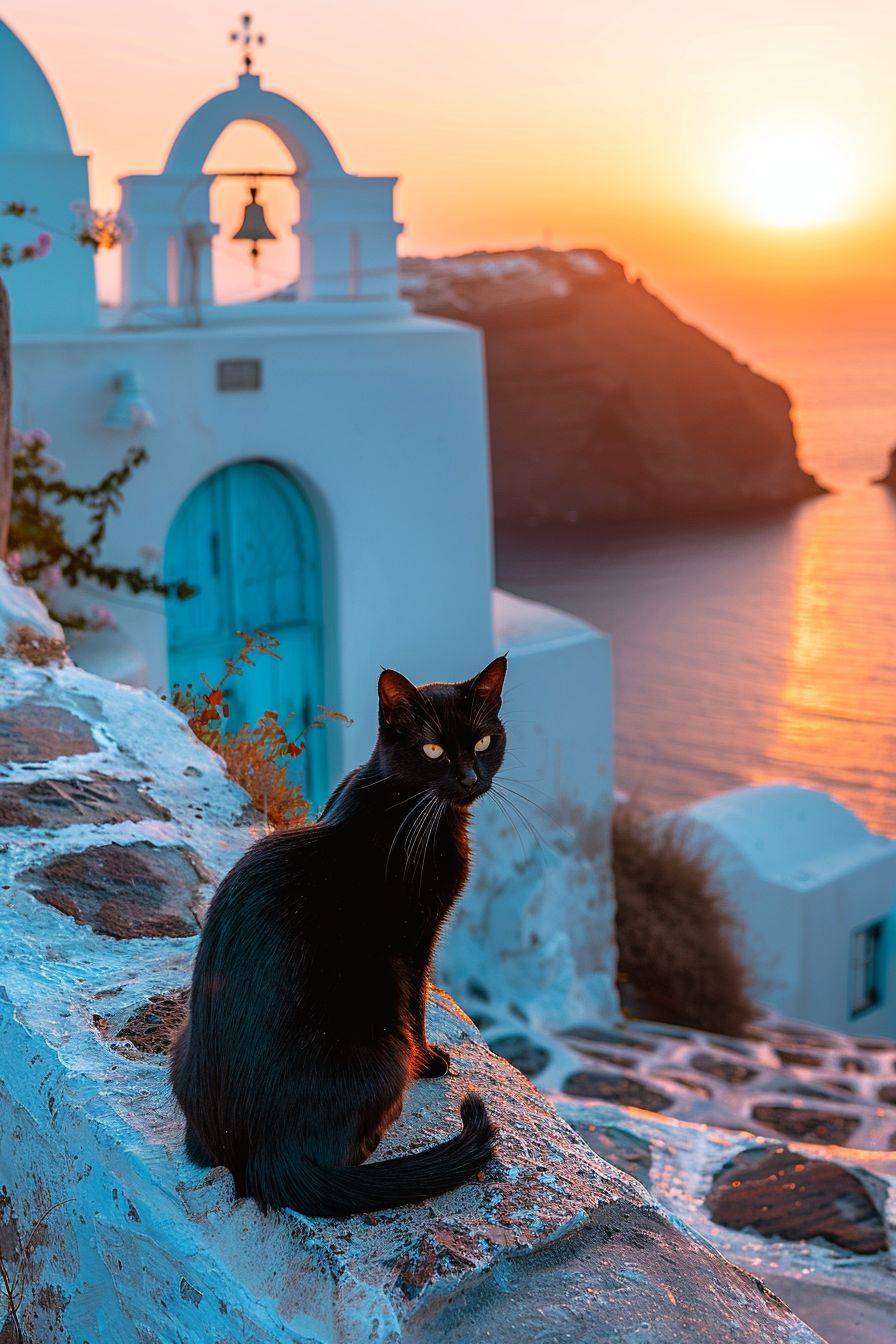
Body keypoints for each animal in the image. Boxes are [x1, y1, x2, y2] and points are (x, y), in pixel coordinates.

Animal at [171, 655, 507, 1214]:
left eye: (482, 742)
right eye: (432, 749)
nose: (468, 776)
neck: (406, 803)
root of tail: (260, 1157)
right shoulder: (413, 944)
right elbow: (416, 1006)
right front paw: (430, 1061)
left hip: (182, 1045)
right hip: (381, 1047)